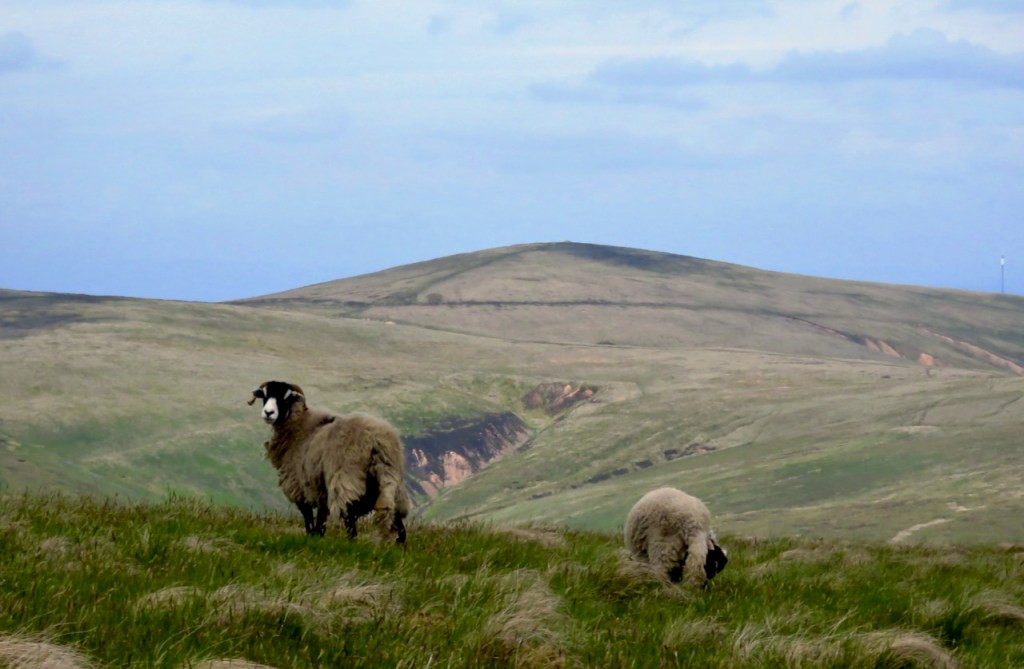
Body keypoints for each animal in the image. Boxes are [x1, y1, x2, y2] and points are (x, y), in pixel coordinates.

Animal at [248, 380, 409, 544]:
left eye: (286, 398)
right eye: (265, 395)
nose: (268, 413)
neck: (299, 426)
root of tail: (376, 440)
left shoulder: (298, 484)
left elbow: (308, 517)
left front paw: (311, 536)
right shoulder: (320, 489)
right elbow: (321, 519)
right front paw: (318, 537)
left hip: (345, 478)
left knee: (349, 517)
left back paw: (352, 543)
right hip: (389, 479)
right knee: (397, 520)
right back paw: (399, 545)